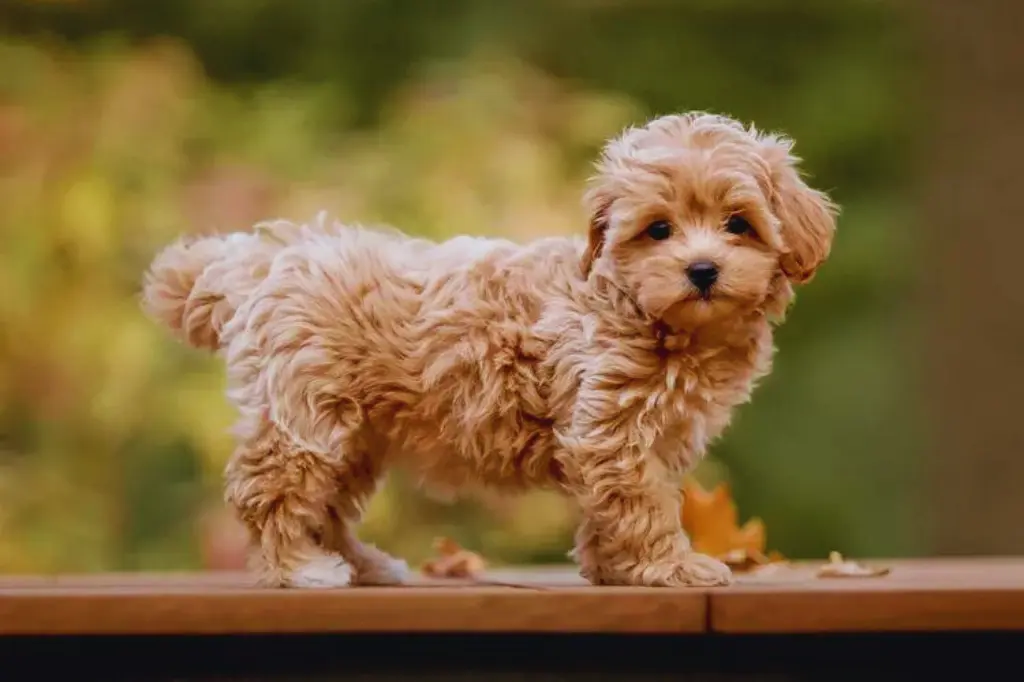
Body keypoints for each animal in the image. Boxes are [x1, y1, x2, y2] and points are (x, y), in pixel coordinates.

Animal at [140, 110, 835, 585]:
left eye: (738, 224)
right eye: (659, 230)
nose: (702, 270)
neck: (644, 312)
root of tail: (261, 262)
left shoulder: (648, 437)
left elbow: (618, 505)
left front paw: (612, 568)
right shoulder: (611, 427)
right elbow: (643, 505)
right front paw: (671, 568)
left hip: (355, 435)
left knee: (328, 507)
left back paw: (363, 565)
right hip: (307, 418)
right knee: (270, 493)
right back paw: (298, 570)